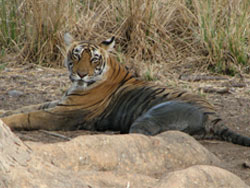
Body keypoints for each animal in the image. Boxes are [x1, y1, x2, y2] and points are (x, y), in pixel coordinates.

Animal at [1, 33, 250, 146]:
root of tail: (214, 115)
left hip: (151, 115)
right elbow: (27, 107)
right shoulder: (60, 102)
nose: (81, 74)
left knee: (143, 136)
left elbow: (28, 115)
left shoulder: (62, 114)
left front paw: (7, 122)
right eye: (76, 55)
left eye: (93, 59)